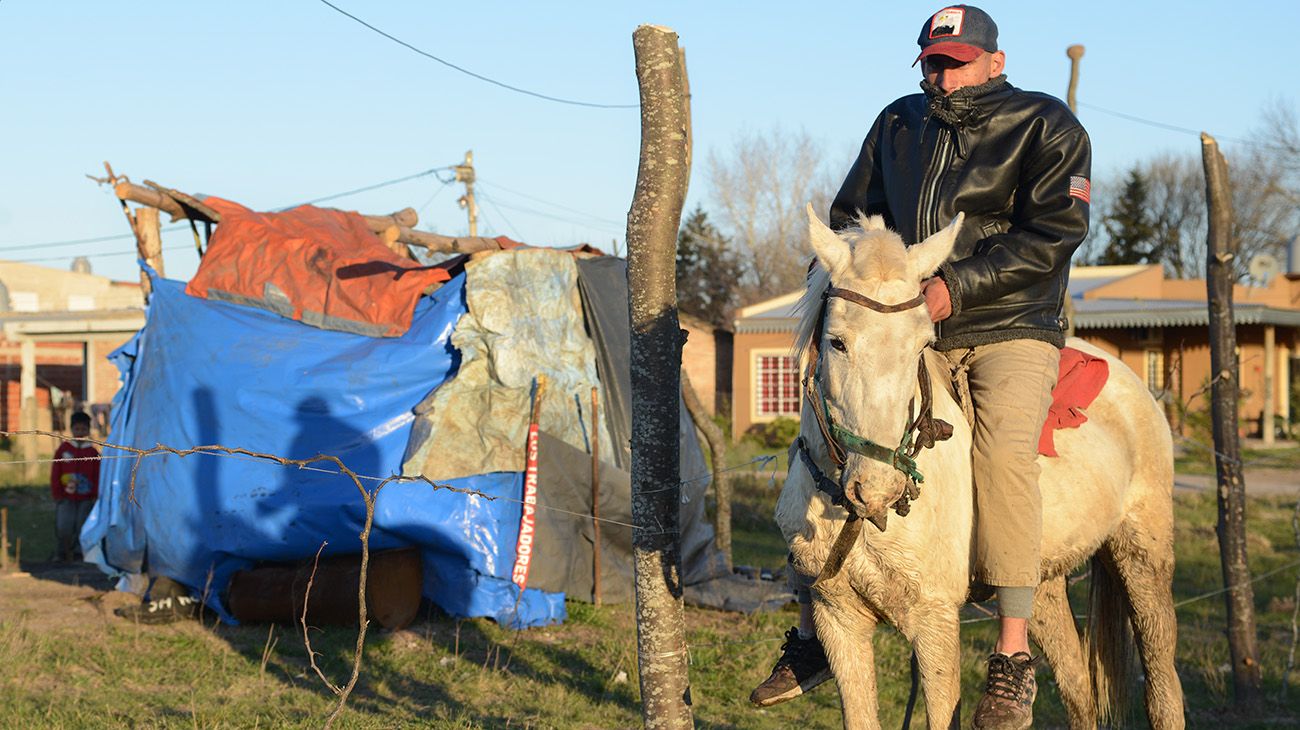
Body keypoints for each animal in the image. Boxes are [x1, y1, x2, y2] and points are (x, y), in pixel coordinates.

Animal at [769, 206, 1190, 727]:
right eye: (837, 343)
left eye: (920, 344)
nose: (879, 489)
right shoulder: (838, 621)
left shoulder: (935, 624)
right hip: (1045, 582)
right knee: (1077, 688)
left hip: (1143, 560)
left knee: (1162, 686)